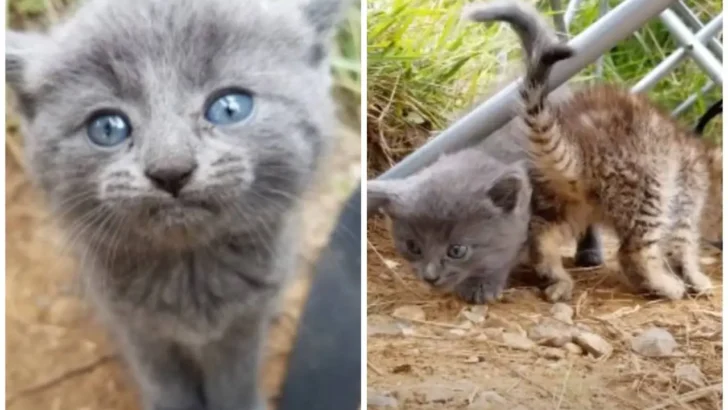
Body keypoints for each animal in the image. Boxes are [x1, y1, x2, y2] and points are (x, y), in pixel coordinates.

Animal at [5, 0, 346, 410]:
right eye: (107, 127)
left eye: (230, 108)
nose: (170, 170)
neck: (190, 275)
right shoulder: (137, 328)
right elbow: (165, 384)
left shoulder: (242, 325)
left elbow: (234, 382)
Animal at [464, 0, 720, 302]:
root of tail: (580, 146)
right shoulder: (686, 196)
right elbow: (683, 245)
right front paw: (695, 277)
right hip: (648, 183)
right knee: (633, 253)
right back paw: (662, 284)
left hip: (566, 199)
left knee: (542, 235)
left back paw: (556, 277)